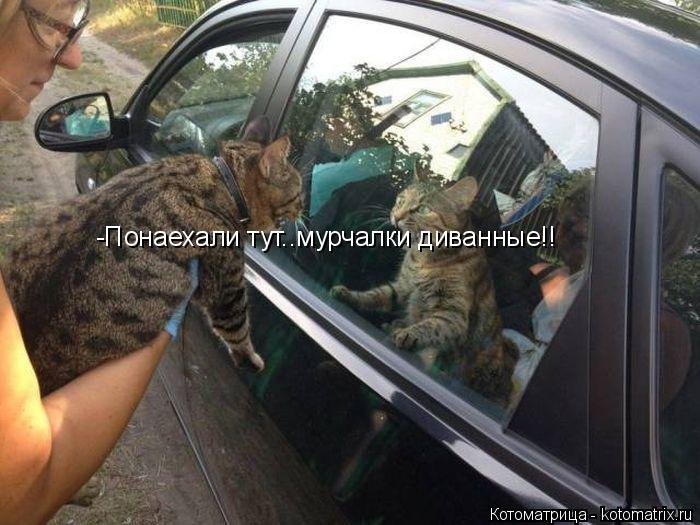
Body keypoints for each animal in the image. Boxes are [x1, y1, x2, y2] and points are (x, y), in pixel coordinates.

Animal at [1, 116, 303, 395]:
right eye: (300, 191)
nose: (303, 210)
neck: (224, 181)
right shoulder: (226, 286)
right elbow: (236, 326)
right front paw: (250, 359)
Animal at [330, 171, 517, 406]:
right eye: (401, 200)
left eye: (422, 209)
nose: (396, 216)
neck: (423, 257)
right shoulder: (401, 288)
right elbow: (375, 295)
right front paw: (349, 295)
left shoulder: (453, 316)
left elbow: (431, 326)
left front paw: (408, 334)